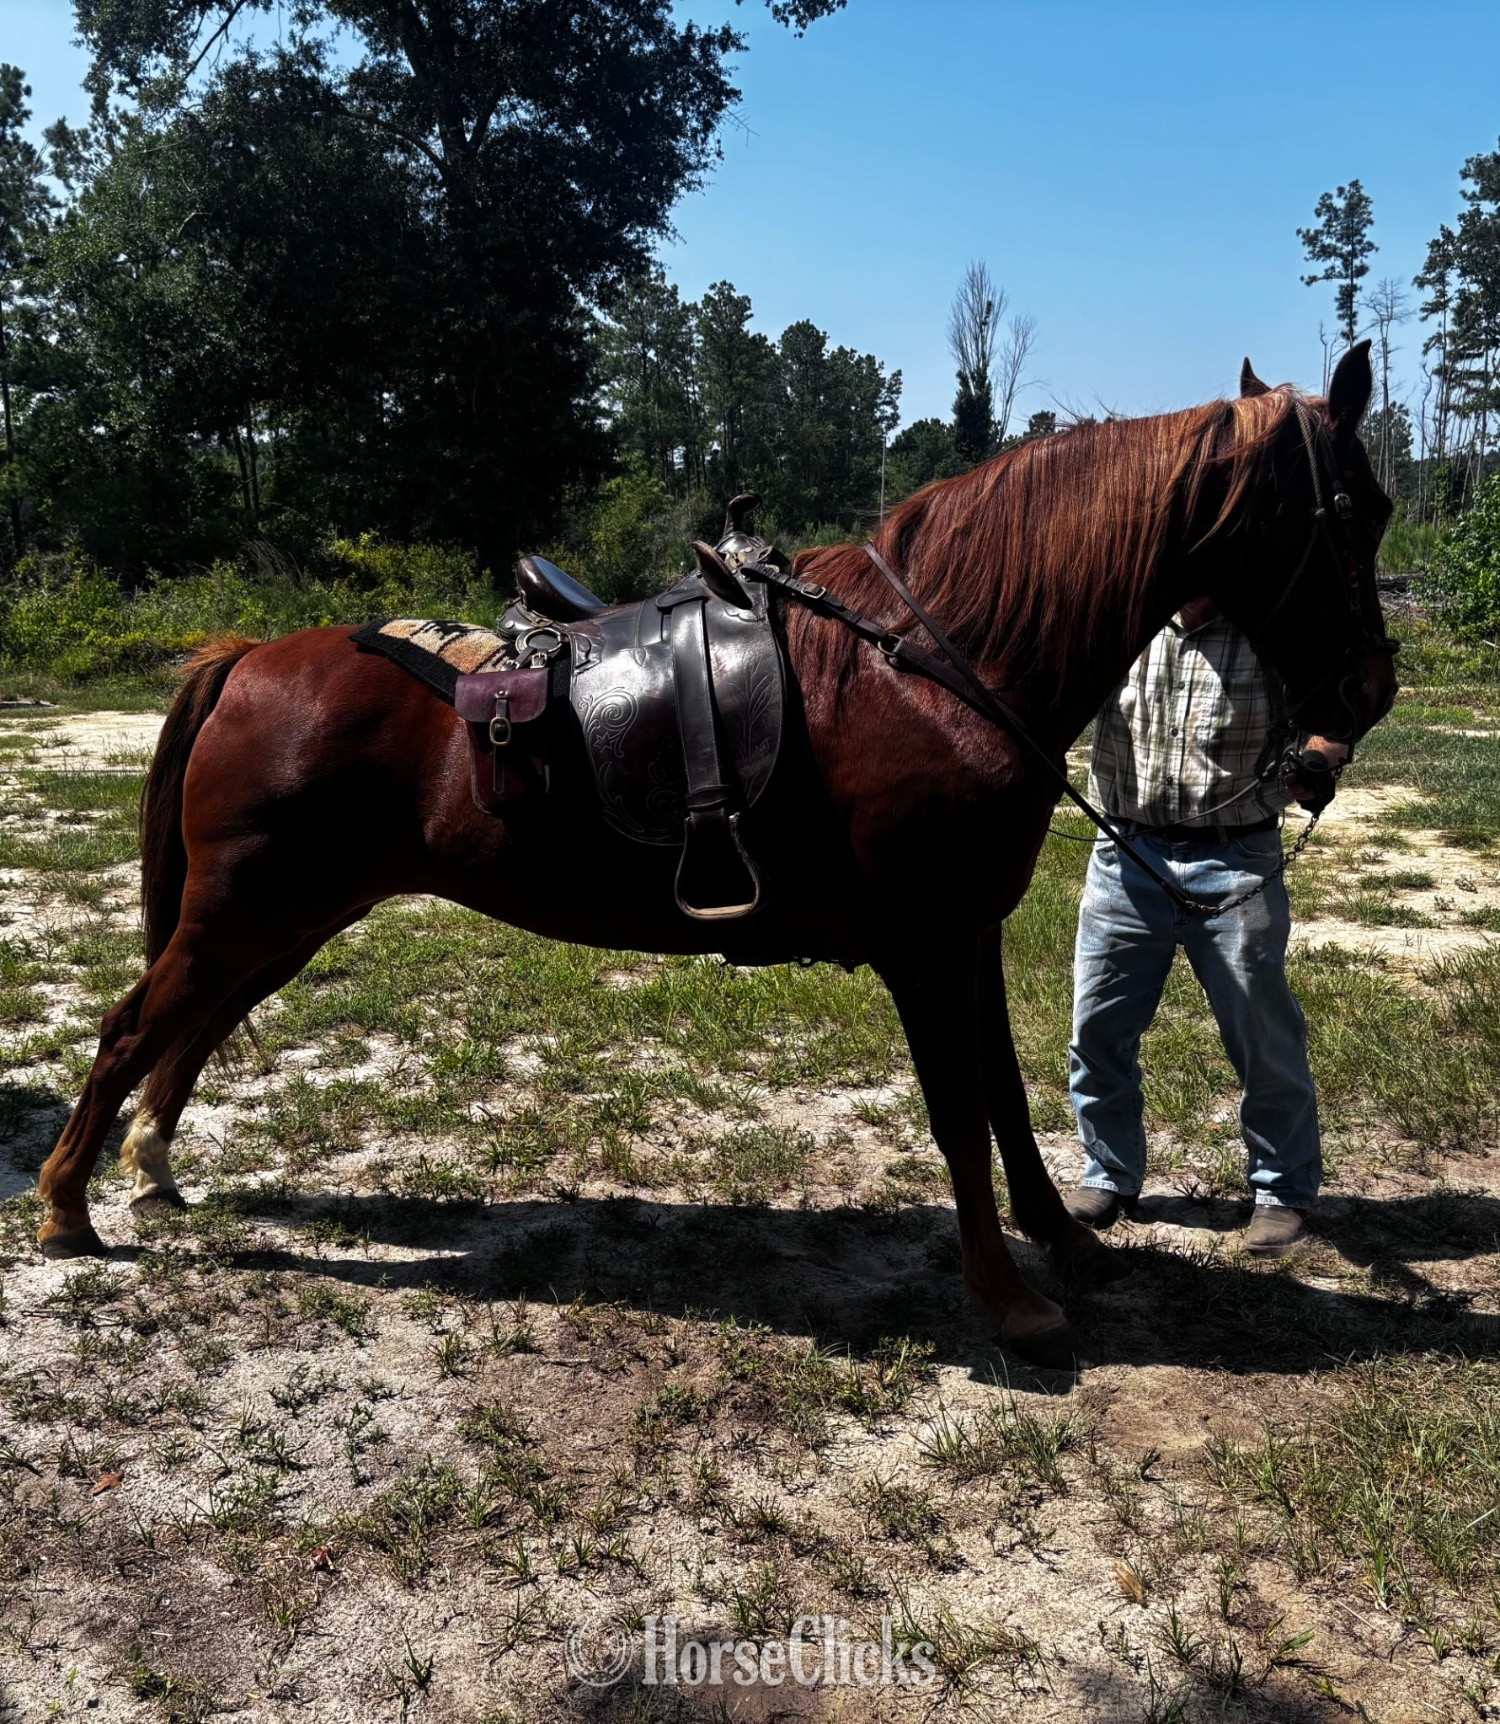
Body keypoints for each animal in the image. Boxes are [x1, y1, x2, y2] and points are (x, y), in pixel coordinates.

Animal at [34, 344, 1396, 1367]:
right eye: (1359, 509)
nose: (1370, 692)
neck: (933, 661)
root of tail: (249, 659)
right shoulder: (924, 944)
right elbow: (961, 1115)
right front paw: (1009, 1300)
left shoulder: (972, 932)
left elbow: (1009, 1103)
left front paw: (1062, 1239)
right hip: (247, 909)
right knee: (131, 1027)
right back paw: (65, 1204)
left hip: (291, 915)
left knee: (190, 1025)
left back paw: (147, 1170)